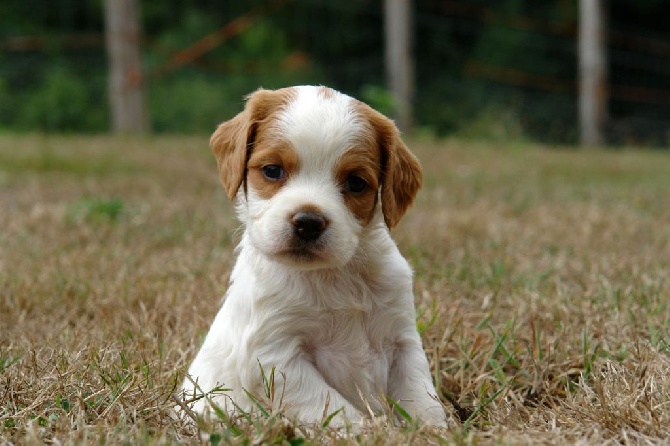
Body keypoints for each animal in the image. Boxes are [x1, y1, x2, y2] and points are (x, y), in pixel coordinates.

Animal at [181, 84, 448, 428]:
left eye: (356, 183)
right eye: (272, 170)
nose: (308, 222)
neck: (333, 275)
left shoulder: (403, 341)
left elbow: (421, 399)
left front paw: (433, 431)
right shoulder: (275, 356)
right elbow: (333, 408)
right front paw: (370, 432)